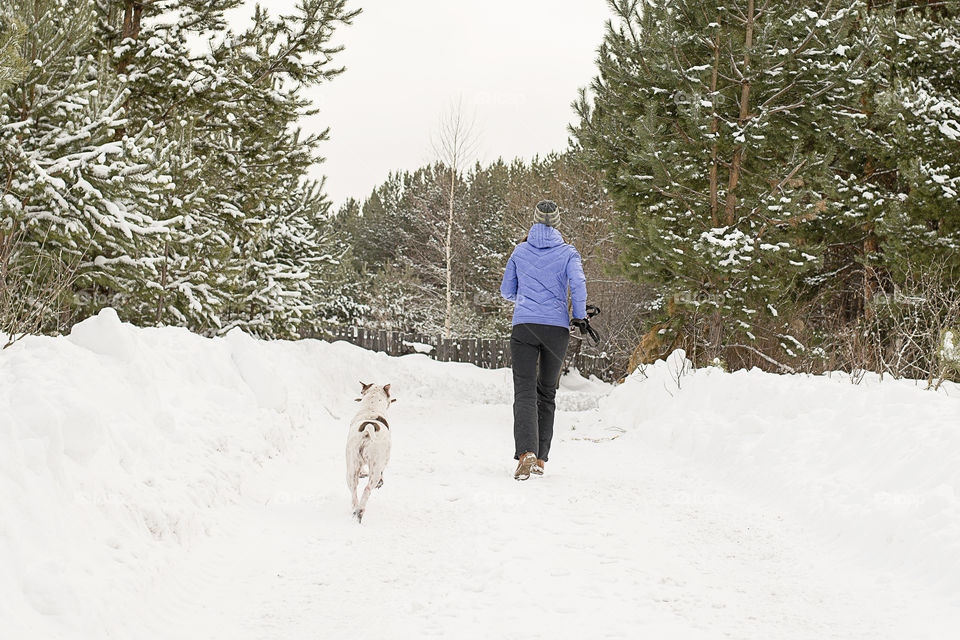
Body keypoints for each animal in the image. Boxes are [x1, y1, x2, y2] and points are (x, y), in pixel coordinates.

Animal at [344, 382, 394, 524]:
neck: (371, 408)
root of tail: (367, 429)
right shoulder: (384, 460)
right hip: (375, 467)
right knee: (367, 489)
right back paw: (360, 511)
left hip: (352, 467)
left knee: (354, 491)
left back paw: (355, 510)